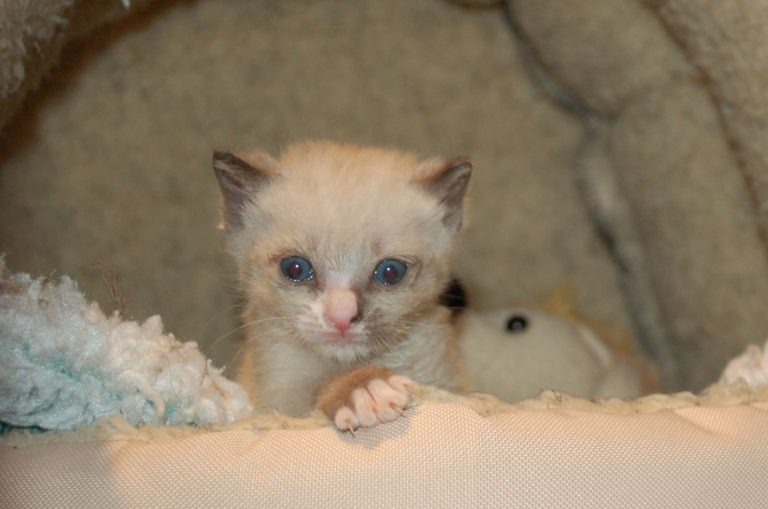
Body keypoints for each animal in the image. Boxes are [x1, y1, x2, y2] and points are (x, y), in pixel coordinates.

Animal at [213, 141, 472, 430]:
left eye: (391, 272)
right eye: (295, 269)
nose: (342, 318)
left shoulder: (445, 383)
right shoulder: (277, 401)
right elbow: (316, 388)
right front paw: (365, 389)